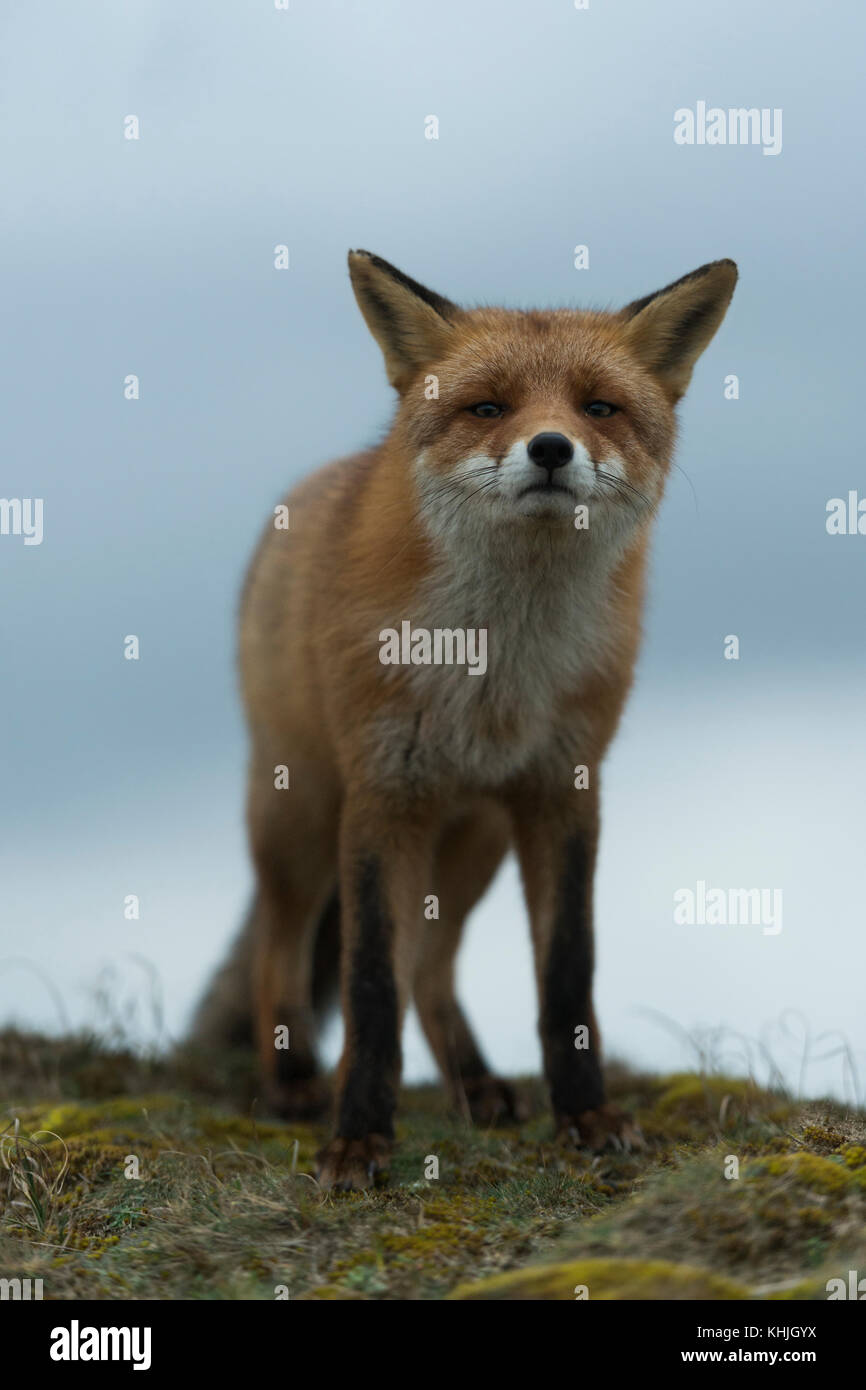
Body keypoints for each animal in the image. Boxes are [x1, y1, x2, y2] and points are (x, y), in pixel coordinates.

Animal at [191, 248, 737, 1190]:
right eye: (488, 408)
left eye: (598, 408)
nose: (550, 448)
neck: (497, 666)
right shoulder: (384, 795)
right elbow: (371, 983)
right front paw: (357, 1141)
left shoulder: (564, 792)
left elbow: (566, 976)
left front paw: (585, 1116)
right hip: (300, 815)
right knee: (281, 945)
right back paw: (294, 1083)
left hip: (473, 837)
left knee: (434, 969)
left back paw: (474, 1086)